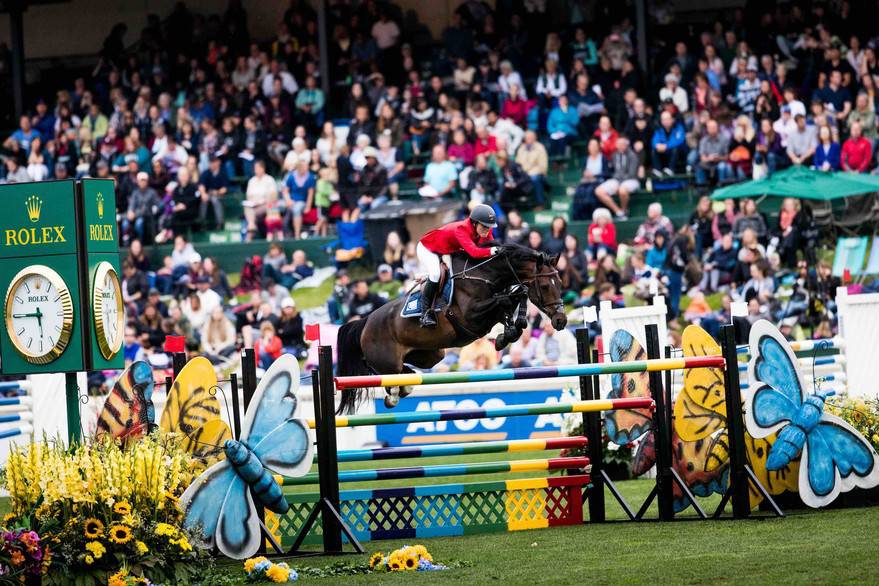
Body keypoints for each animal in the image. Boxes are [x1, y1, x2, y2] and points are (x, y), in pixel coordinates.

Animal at [334, 244, 568, 412]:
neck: (485, 275)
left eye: (560, 282)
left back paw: (406, 387)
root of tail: (366, 321)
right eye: (545, 286)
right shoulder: (471, 316)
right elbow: (509, 298)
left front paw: (507, 334)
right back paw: (392, 397)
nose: (561, 321)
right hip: (386, 360)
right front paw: (508, 332)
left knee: (406, 371)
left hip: (431, 355)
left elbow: (513, 302)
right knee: (384, 373)